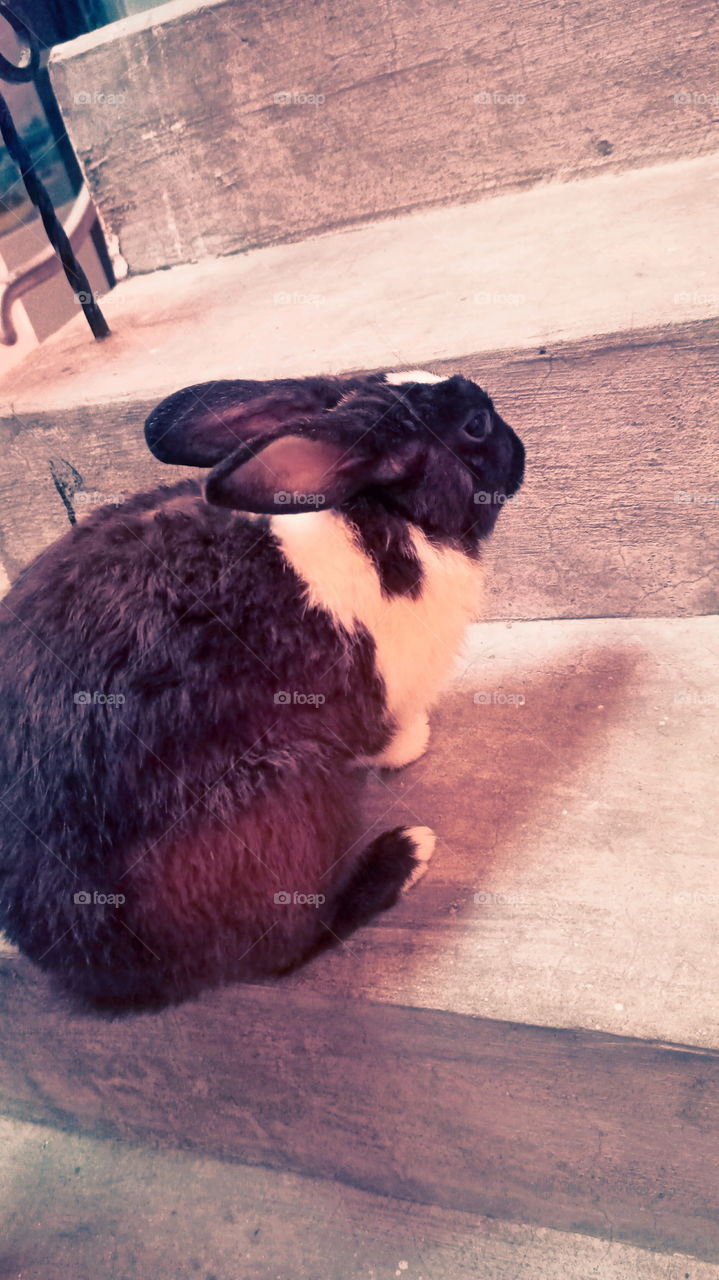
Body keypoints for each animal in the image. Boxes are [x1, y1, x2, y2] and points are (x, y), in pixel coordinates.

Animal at [0, 369, 525, 1010]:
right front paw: (415, 742)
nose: (520, 450)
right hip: (285, 794)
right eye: (475, 426)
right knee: (284, 948)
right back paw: (404, 853)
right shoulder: (375, 694)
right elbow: (384, 739)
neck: (378, 513)